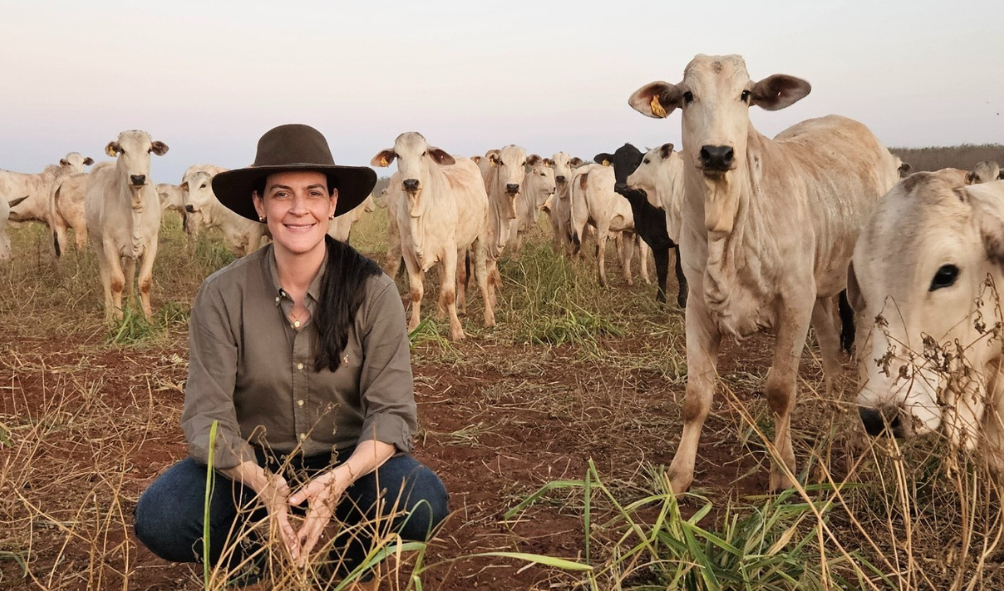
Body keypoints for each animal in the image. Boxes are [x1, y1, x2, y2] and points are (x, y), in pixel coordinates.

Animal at [84, 130, 168, 323]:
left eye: (149, 150)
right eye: (122, 150)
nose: (138, 178)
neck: (135, 204)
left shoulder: (151, 243)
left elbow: (144, 282)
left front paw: (147, 318)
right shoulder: (109, 244)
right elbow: (116, 282)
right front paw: (118, 318)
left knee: (129, 274)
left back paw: (133, 309)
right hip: (97, 241)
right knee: (105, 274)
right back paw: (109, 315)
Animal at [371, 130, 491, 339]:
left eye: (424, 153)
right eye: (398, 155)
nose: (411, 182)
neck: (420, 211)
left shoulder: (448, 249)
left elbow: (449, 291)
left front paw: (456, 330)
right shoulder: (408, 252)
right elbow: (416, 290)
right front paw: (413, 326)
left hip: (480, 235)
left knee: (480, 274)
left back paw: (489, 316)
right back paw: (443, 312)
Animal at [626, 51, 903, 493]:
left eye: (745, 94)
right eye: (687, 95)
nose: (717, 153)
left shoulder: (793, 302)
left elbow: (780, 390)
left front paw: (783, 469)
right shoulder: (699, 308)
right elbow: (696, 396)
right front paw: (678, 474)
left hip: (862, 293)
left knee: (862, 361)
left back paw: (860, 439)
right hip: (821, 293)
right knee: (831, 357)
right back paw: (832, 433)